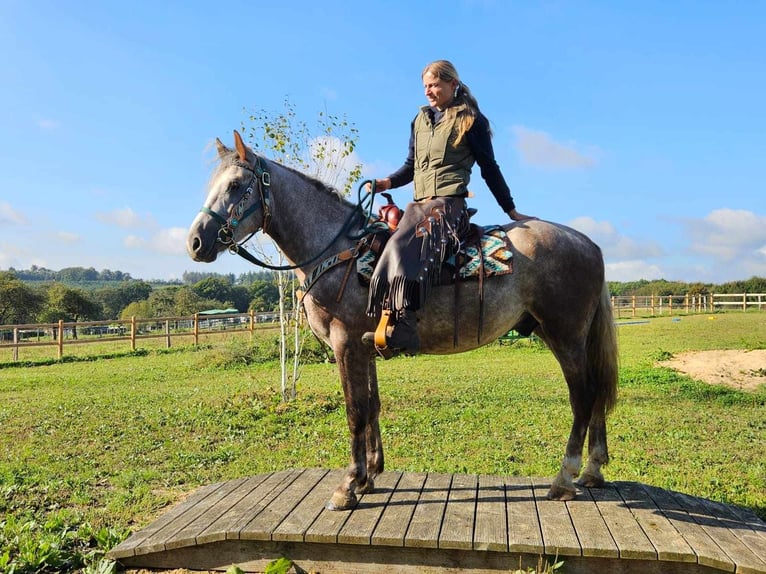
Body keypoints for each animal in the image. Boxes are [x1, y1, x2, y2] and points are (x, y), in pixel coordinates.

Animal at [189, 132, 620, 512]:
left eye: (235, 185)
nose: (195, 242)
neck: (339, 250)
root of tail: (588, 243)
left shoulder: (346, 344)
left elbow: (355, 411)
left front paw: (347, 487)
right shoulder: (365, 347)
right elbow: (372, 406)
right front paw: (369, 476)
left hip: (565, 336)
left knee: (584, 396)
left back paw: (564, 479)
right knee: (597, 391)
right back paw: (593, 471)